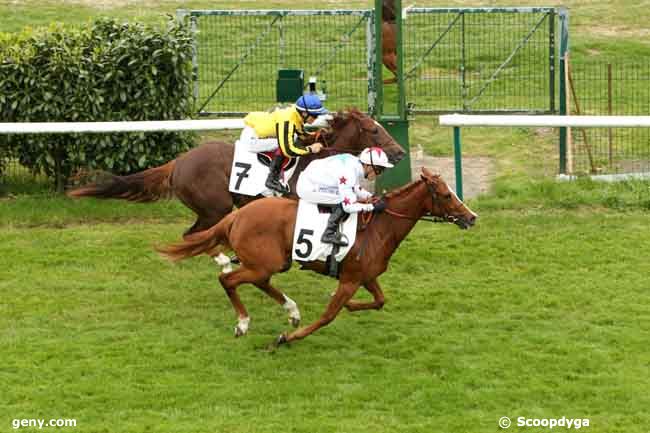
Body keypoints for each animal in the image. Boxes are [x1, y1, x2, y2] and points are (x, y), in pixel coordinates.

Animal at [154, 167, 474, 346]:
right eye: (446, 195)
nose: (471, 217)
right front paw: (286, 338)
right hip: (264, 263)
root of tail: (236, 216)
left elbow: (380, 301)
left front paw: (351, 306)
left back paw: (291, 310)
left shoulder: (364, 275)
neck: (379, 227)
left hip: (271, 263)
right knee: (229, 280)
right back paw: (244, 323)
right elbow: (328, 316)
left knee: (258, 282)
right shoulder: (351, 279)